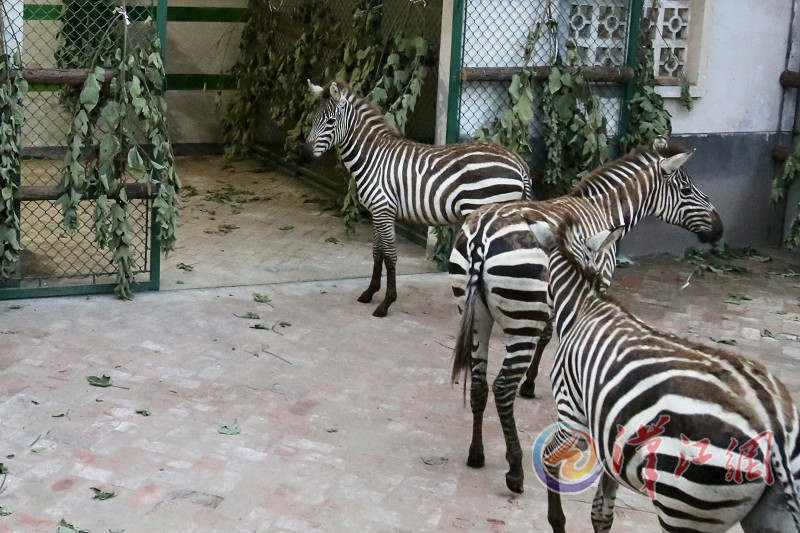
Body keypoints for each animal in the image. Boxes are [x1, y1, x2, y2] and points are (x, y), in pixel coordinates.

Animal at [305, 80, 533, 317]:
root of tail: (518, 162)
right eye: (314, 119)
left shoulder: (383, 209)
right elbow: (377, 253)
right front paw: (370, 292)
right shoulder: (378, 210)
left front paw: (386, 302)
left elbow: (390, 255)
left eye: (330, 121)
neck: (373, 158)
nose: (305, 155)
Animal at [449, 138, 723, 494]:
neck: (605, 211)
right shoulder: (592, 283)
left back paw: (476, 453)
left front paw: (532, 384)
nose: (719, 230)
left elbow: (549, 334)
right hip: (521, 318)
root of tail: (481, 236)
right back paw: (515, 469)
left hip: (476, 315)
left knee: (480, 382)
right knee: (502, 387)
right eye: (688, 189)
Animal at [538, 213, 800, 533]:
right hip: (770, 513)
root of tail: (774, 426)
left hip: (683, 503)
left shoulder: (572, 415)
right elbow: (602, 509)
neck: (585, 308)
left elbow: (548, 460)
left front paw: (557, 520)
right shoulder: (610, 439)